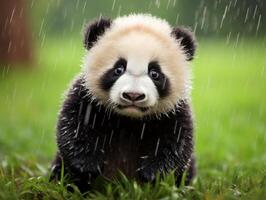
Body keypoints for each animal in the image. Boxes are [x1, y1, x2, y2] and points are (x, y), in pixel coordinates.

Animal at [50, 13, 196, 191]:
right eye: (118, 69)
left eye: (154, 73)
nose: (133, 95)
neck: (129, 119)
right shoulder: (86, 96)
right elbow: (73, 125)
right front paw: (88, 164)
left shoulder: (174, 110)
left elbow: (177, 143)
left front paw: (153, 173)